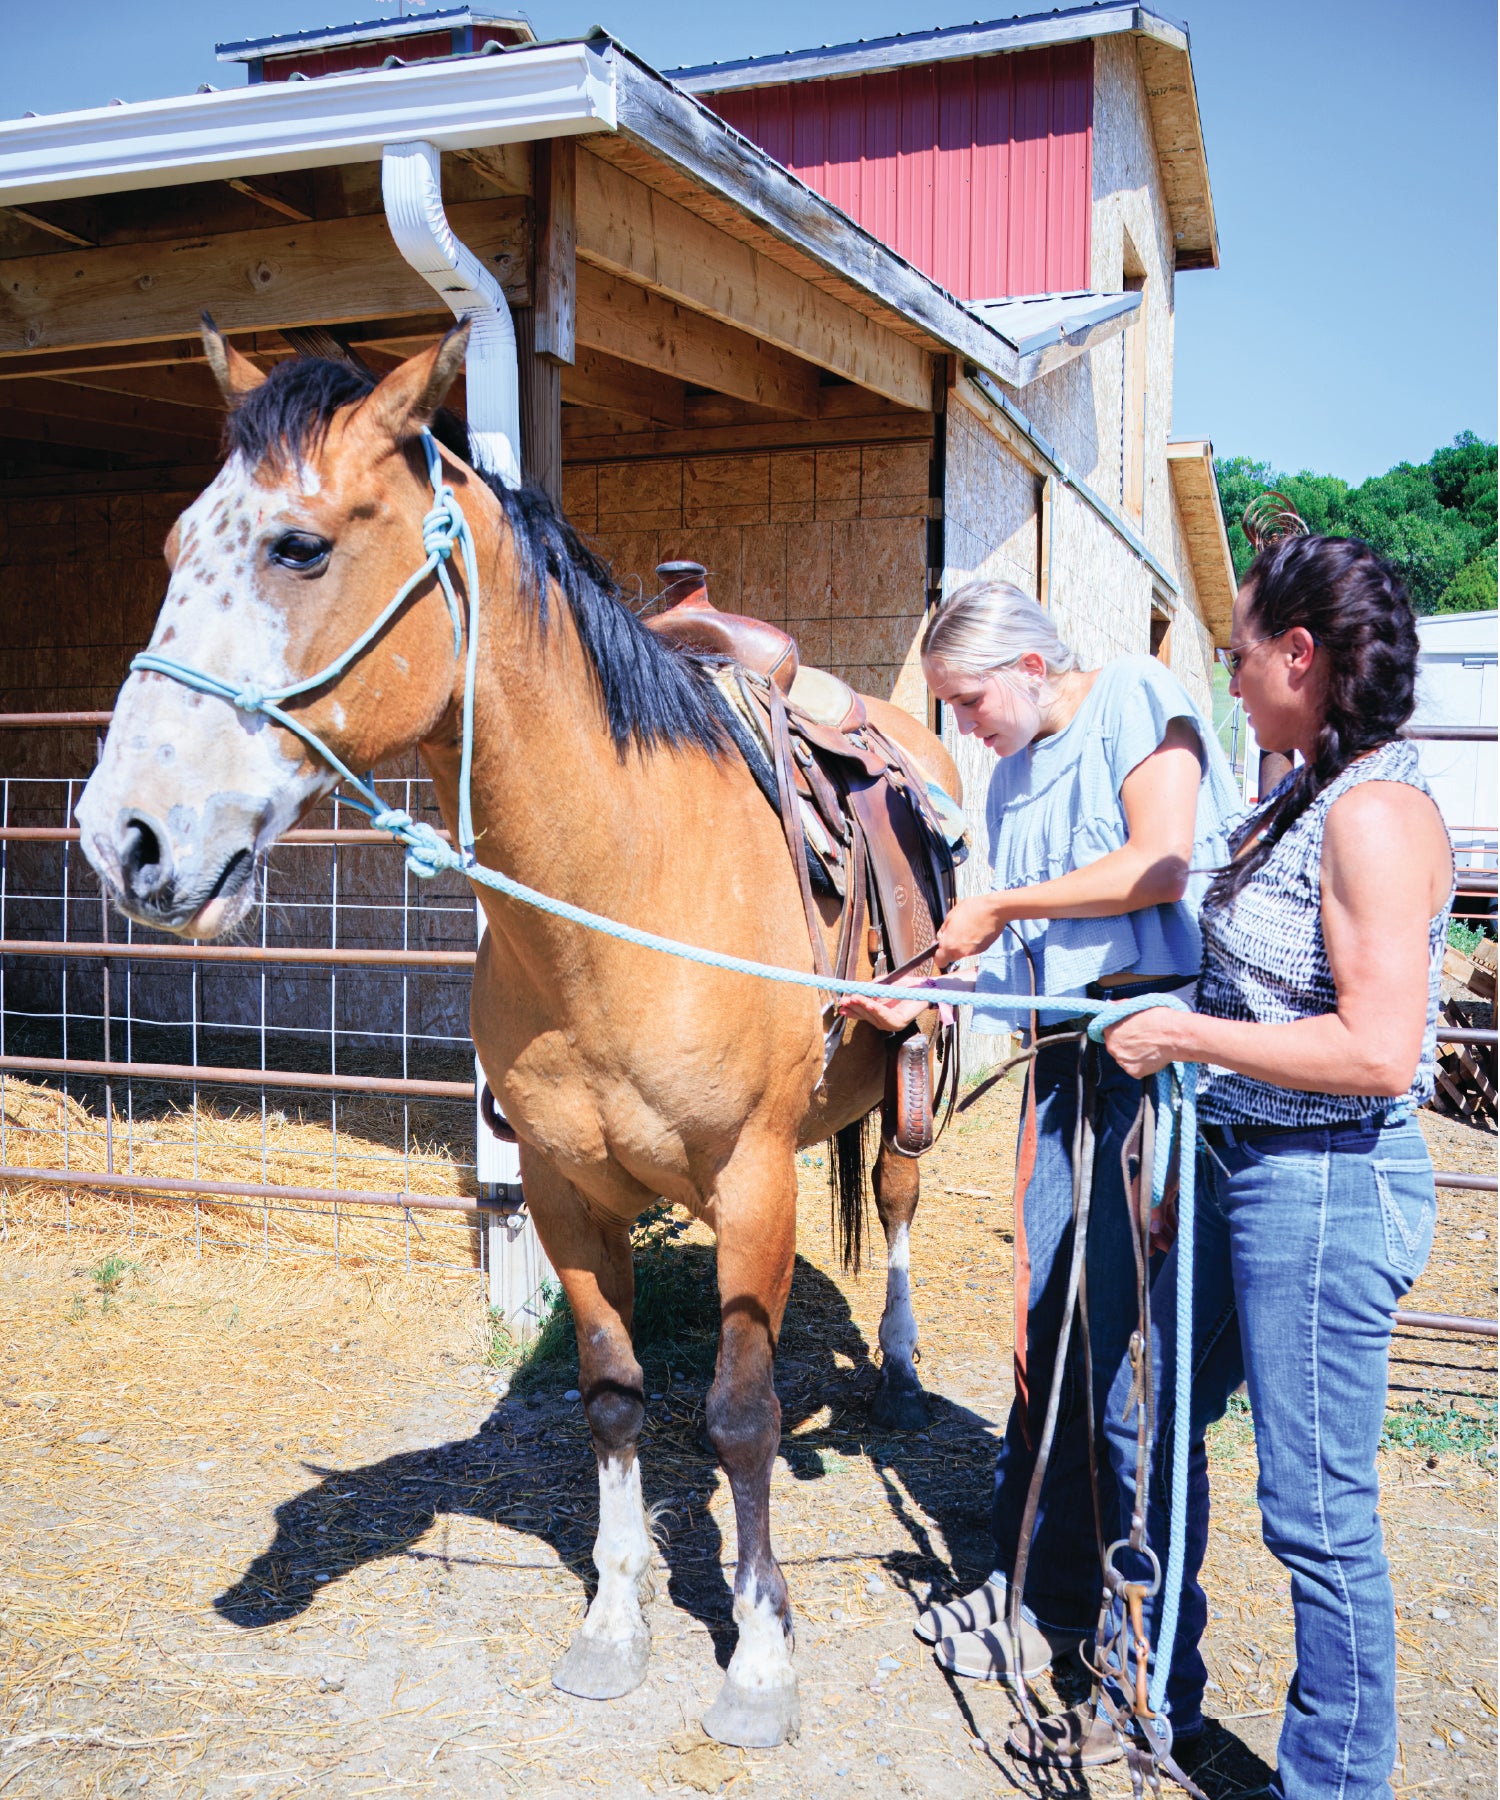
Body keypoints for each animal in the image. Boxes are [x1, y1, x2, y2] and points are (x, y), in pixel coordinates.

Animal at [75, 321, 963, 1750]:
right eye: (169, 547)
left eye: (299, 547)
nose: (125, 839)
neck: (625, 890)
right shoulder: (559, 1188)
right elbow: (610, 1397)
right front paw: (612, 1623)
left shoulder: (754, 1183)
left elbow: (744, 1412)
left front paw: (760, 1658)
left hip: (916, 1090)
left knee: (891, 1205)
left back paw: (900, 1369)